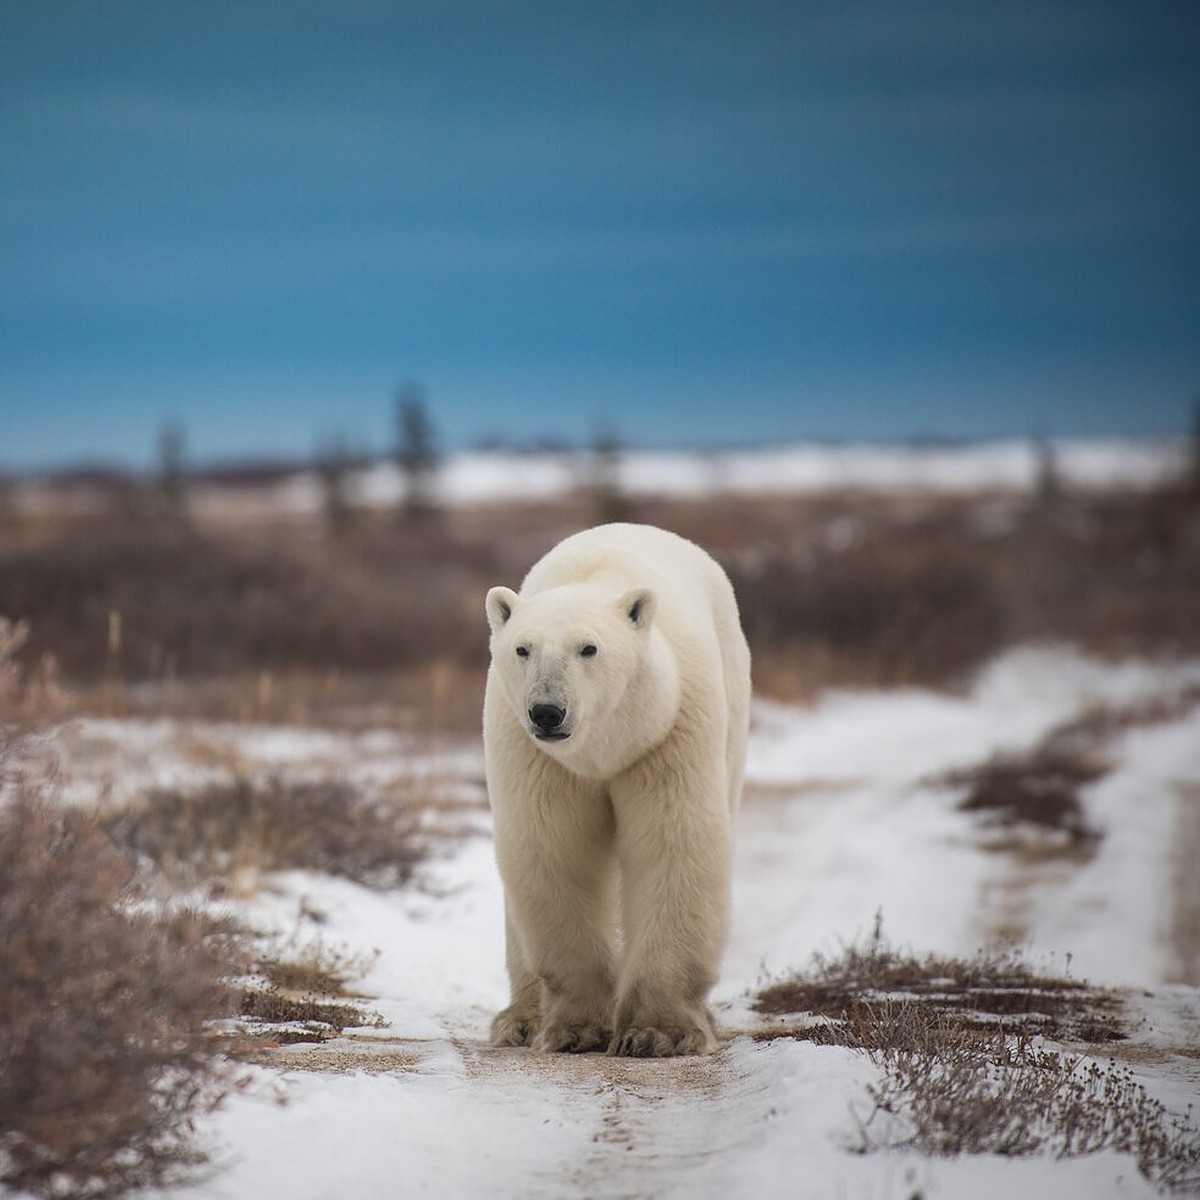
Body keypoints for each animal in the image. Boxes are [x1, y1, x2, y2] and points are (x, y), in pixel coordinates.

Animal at [483, 522, 751, 1057]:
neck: (605, 749)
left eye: (589, 648)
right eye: (523, 648)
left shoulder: (667, 735)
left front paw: (658, 1032)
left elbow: (673, 846)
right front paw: (579, 1029)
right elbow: (555, 852)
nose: (547, 712)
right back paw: (520, 1020)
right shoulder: (537, 758)